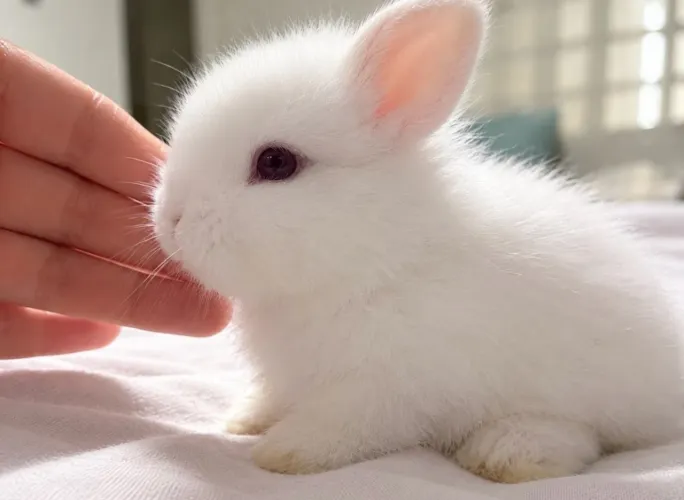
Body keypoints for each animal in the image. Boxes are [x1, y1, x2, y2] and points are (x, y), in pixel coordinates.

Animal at [152, 0, 684, 484]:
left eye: (276, 162)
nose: (171, 221)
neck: (380, 253)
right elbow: (276, 396)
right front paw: (246, 419)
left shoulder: (386, 390)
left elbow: (340, 427)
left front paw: (283, 452)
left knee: (582, 436)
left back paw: (509, 453)